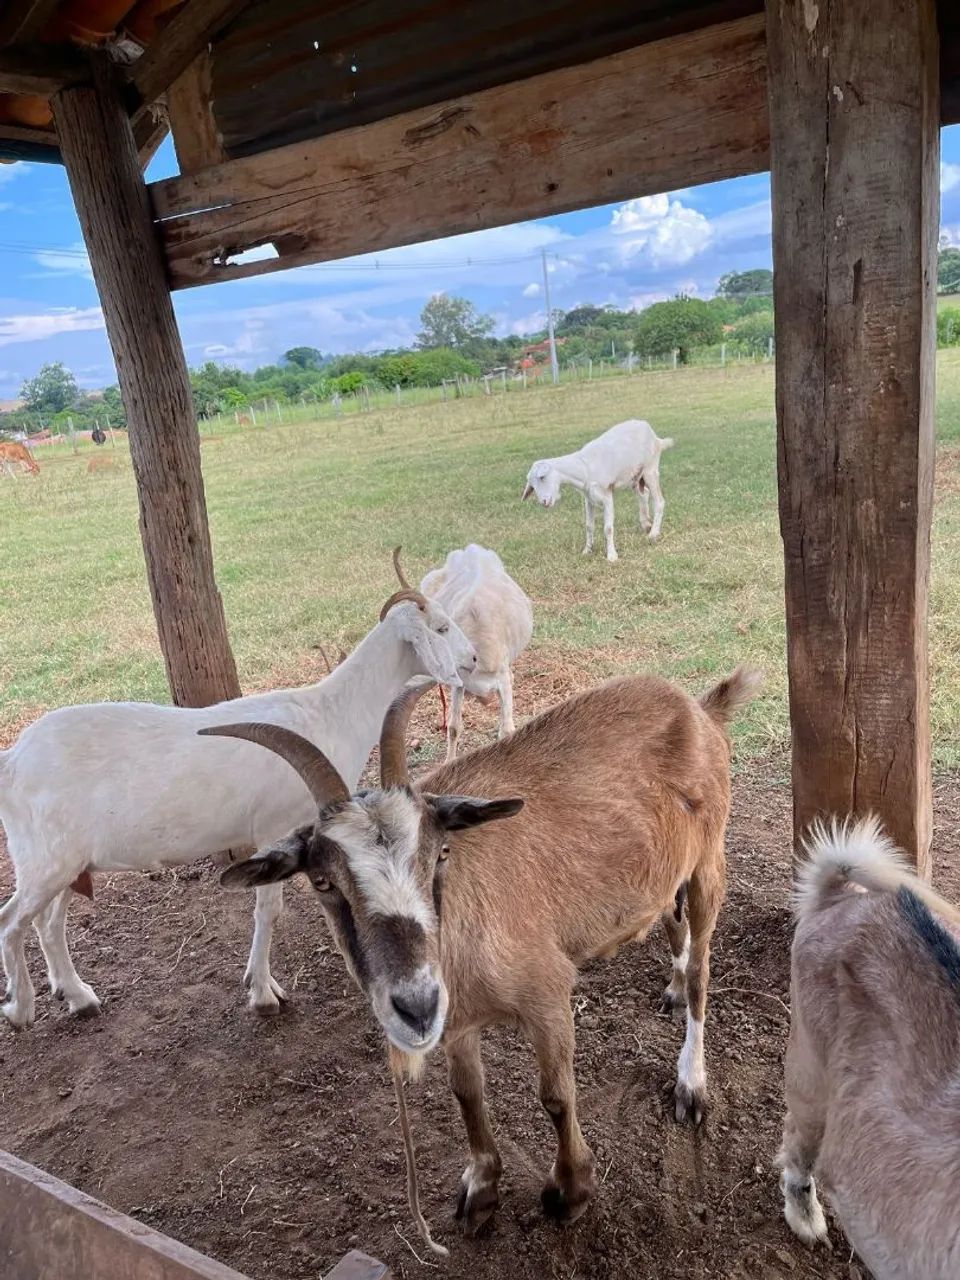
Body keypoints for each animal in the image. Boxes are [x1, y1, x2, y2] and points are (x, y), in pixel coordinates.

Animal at [0, 577, 477, 1029]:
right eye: (441, 627)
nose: (472, 659)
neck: (330, 712)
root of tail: (13, 759)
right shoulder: (275, 828)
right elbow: (268, 911)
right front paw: (263, 992)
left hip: (68, 863)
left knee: (47, 923)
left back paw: (78, 996)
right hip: (45, 859)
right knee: (11, 921)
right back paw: (21, 1007)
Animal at [213, 664, 760, 1246]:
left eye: (441, 853)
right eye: (321, 881)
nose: (415, 1004)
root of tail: (699, 708)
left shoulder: (548, 994)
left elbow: (556, 1096)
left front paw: (570, 1192)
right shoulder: (456, 1021)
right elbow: (467, 1095)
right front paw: (481, 1189)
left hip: (709, 862)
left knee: (702, 965)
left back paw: (691, 1082)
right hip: (668, 870)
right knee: (672, 922)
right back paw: (673, 989)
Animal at [523, 418, 673, 561]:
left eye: (542, 477)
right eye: (532, 486)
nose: (544, 502)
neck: (584, 468)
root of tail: (655, 437)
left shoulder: (606, 495)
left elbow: (608, 528)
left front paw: (612, 556)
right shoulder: (588, 498)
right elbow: (589, 526)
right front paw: (587, 550)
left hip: (650, 468)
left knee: (659, 501)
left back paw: (653, 534)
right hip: (635, 476)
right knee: (644, 494)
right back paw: (646, 525)